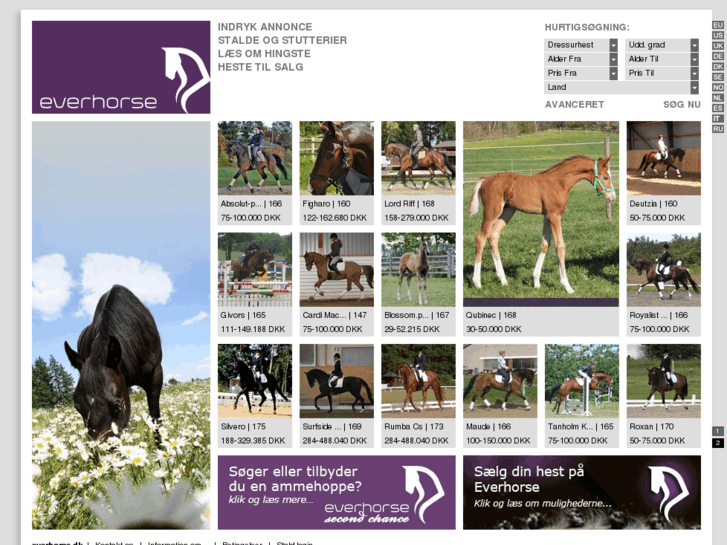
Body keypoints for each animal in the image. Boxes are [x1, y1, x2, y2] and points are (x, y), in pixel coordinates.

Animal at [468, 155, 616, 294]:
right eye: (605, 177)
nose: (612, 197)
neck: (559, 183)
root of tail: (485, 179)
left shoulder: (547, 216)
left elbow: (545, 244)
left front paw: (536, 281)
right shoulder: (555, 216)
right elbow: (560, 247)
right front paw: (567, 286)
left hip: (507, 211)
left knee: (493, 236)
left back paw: (503, 280)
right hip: (492, 212)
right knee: (480, 238)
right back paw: (477, 282)